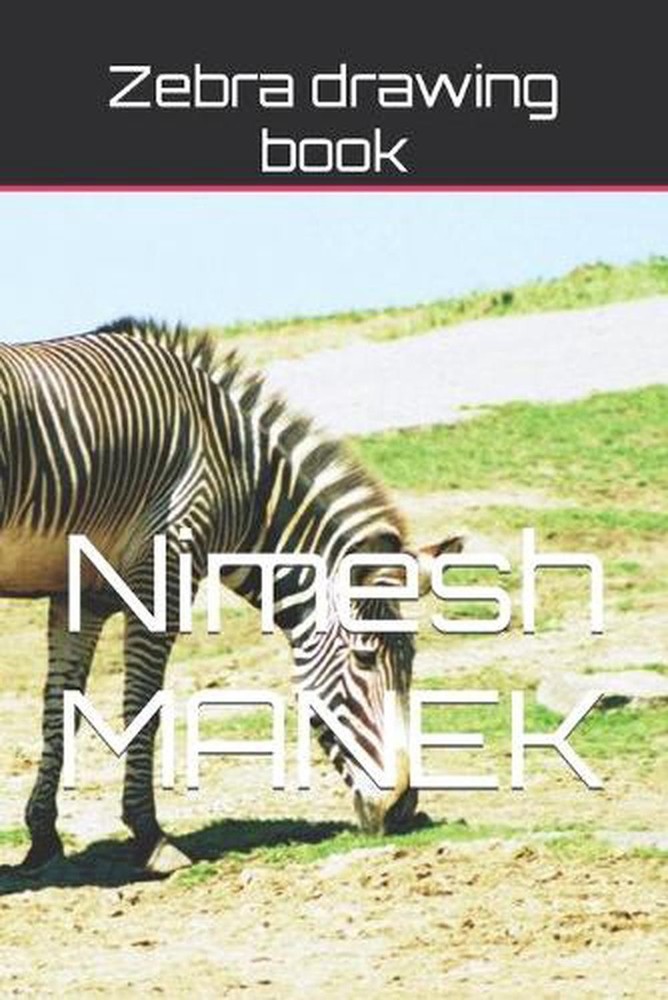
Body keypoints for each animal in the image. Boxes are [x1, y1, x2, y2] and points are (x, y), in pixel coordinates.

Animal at [0, 319, 456, 873]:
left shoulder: (82, 592)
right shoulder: (166, 568)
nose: (404, 808)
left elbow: (61, 708)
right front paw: (151, 838)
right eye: (365, 660)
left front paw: (43, 837)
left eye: (411, 661)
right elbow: (143, 705)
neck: (234, 468)